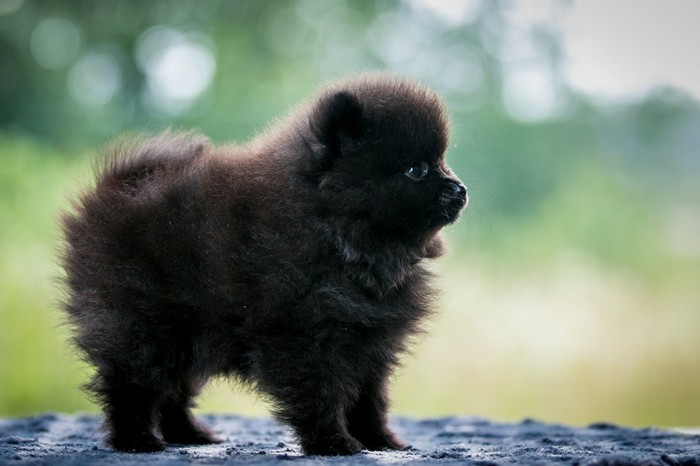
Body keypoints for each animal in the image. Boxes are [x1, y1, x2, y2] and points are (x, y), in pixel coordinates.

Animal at [60, 74, 464, 456]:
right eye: (416, 170)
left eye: (443, 162)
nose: (460, 189)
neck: (335, 227)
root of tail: (110, 191)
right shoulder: (299, 336)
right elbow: (319, 395)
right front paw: (332, 442)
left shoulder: (369, 342)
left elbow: (369, 401)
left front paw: (380, 440)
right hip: (143, 327)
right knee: (133, 385)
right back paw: (137, 440)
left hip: (185, 334)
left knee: (174, 389)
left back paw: (188, 434)